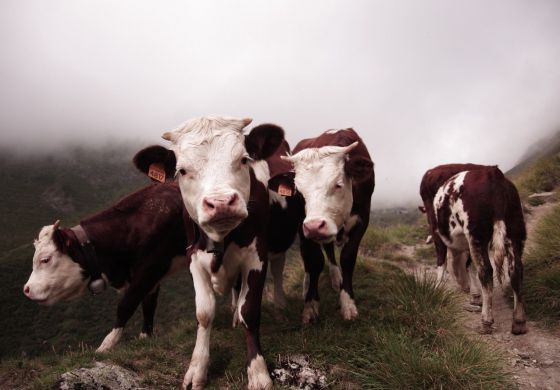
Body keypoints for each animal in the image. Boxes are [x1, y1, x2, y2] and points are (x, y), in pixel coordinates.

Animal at [23, 182, 189, 350]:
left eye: (45, 259)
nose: (26, 290)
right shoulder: (150, 276)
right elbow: (148, 305)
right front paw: (145, 338)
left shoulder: (150, 269)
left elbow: (126, 305)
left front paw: (106, 345)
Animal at [132, 116, 284, 390]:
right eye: (182, 171)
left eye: (243, 159)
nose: (221, 203)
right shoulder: (194, 258)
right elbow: (203, 314)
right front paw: (197, 370)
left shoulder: (257, 255)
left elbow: (249, 311)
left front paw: (258, 372)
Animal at [272, 128, 376, 322]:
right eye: (299, 191)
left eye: (338, 184)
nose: (314, 226)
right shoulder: (303, 224)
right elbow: (314, 261)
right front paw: (310, 305)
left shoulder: (362, 220)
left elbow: (347, 258)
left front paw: (348, 303)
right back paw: (308, 285)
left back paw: (336, 278)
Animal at [430, 166, 528, 334]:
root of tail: (492, 172)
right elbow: (469, 266)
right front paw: (475, 297)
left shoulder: (438, 236)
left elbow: (442, 264)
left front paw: (437, 288)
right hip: (515, 229)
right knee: (515, 271)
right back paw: (519, 322)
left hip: (477, 234)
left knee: (486, 272)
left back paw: (486, 321)